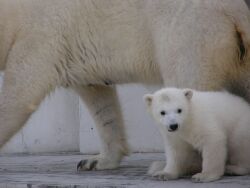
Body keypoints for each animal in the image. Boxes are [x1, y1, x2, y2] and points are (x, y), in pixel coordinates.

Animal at [0, 0, 249, 170]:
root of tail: (234, 12)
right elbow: (101, 101)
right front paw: (95, 161)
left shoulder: (41, 34)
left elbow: (21, 93)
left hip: (189, 35)